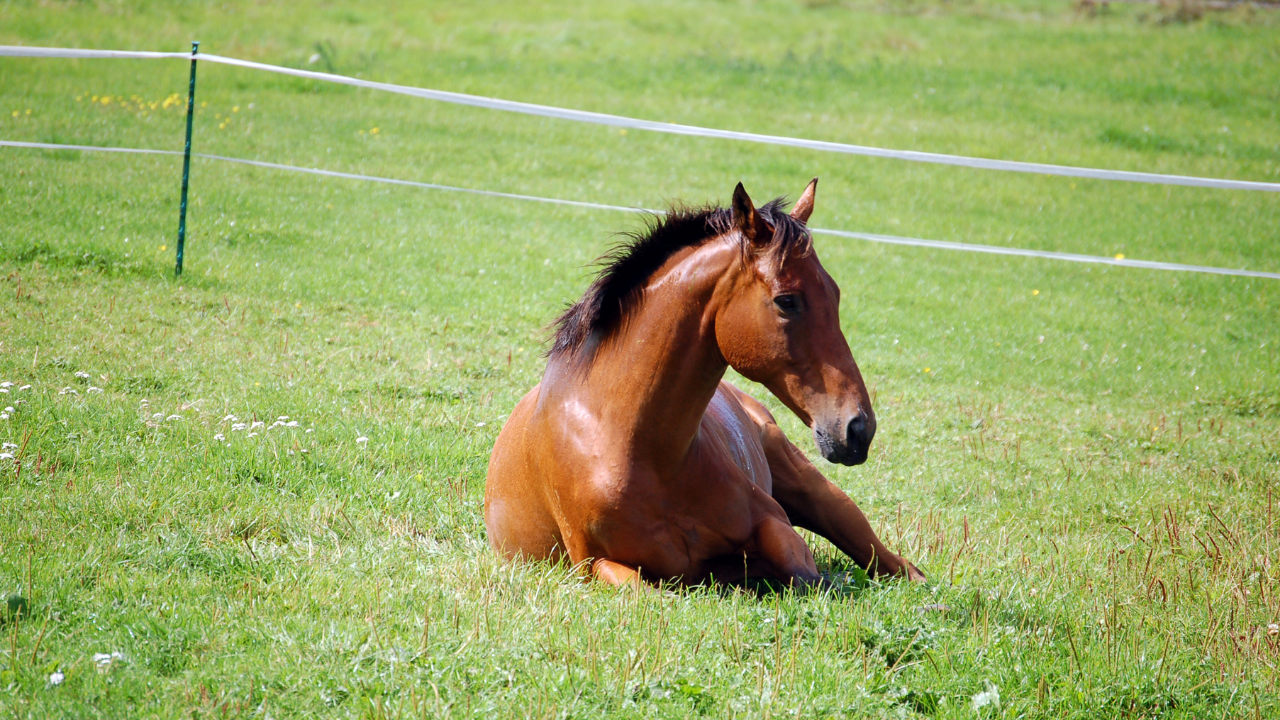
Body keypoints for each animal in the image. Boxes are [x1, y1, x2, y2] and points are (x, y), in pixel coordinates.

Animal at [484, 180, 925, 587]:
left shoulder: (773, 523)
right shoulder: (594, 565)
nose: (858, 427)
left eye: (834, 293)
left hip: (817, 493)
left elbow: (805, 575)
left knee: (891, 562)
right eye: (787, 301)